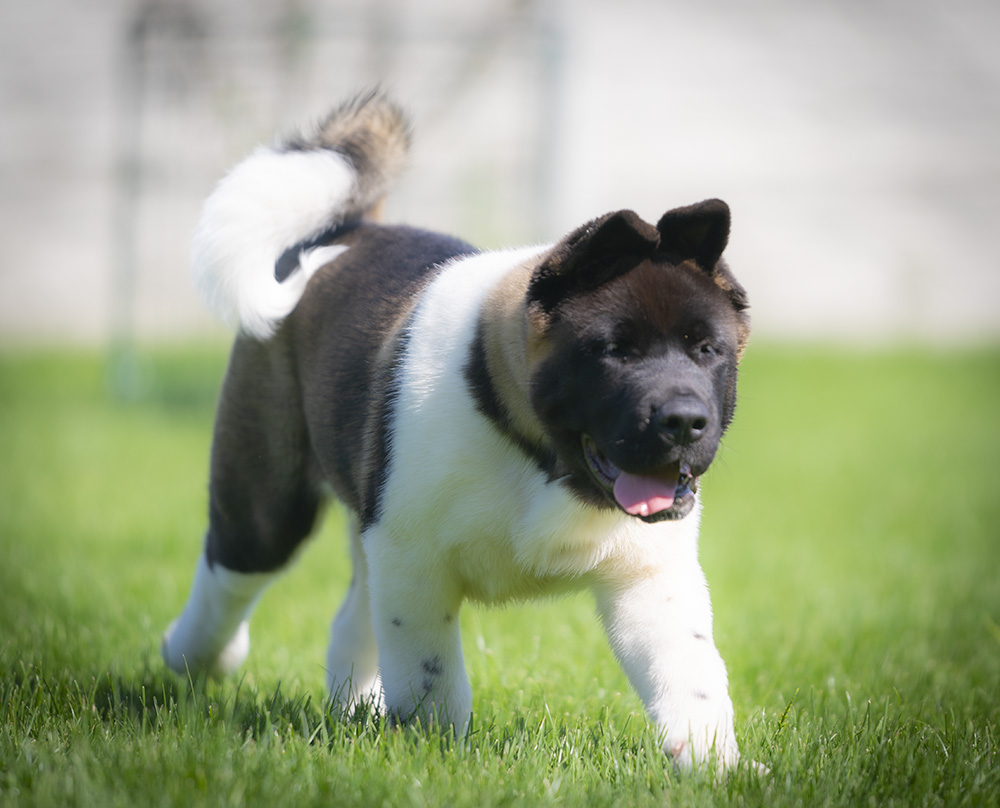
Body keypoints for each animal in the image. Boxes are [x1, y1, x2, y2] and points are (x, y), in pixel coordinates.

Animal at [162, 91, 752, 768]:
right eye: (615, 354)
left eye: (706, 350)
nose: (684, 421)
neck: (538, 456)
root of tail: (355, 229)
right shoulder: (413, 557)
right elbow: (431, 673)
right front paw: (433, 750)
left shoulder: (650, 576)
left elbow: (690, 675)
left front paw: (717, 765)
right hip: (267, 499)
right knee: (231, 574)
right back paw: (194, 653)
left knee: (350, 612)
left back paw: (353, 707)